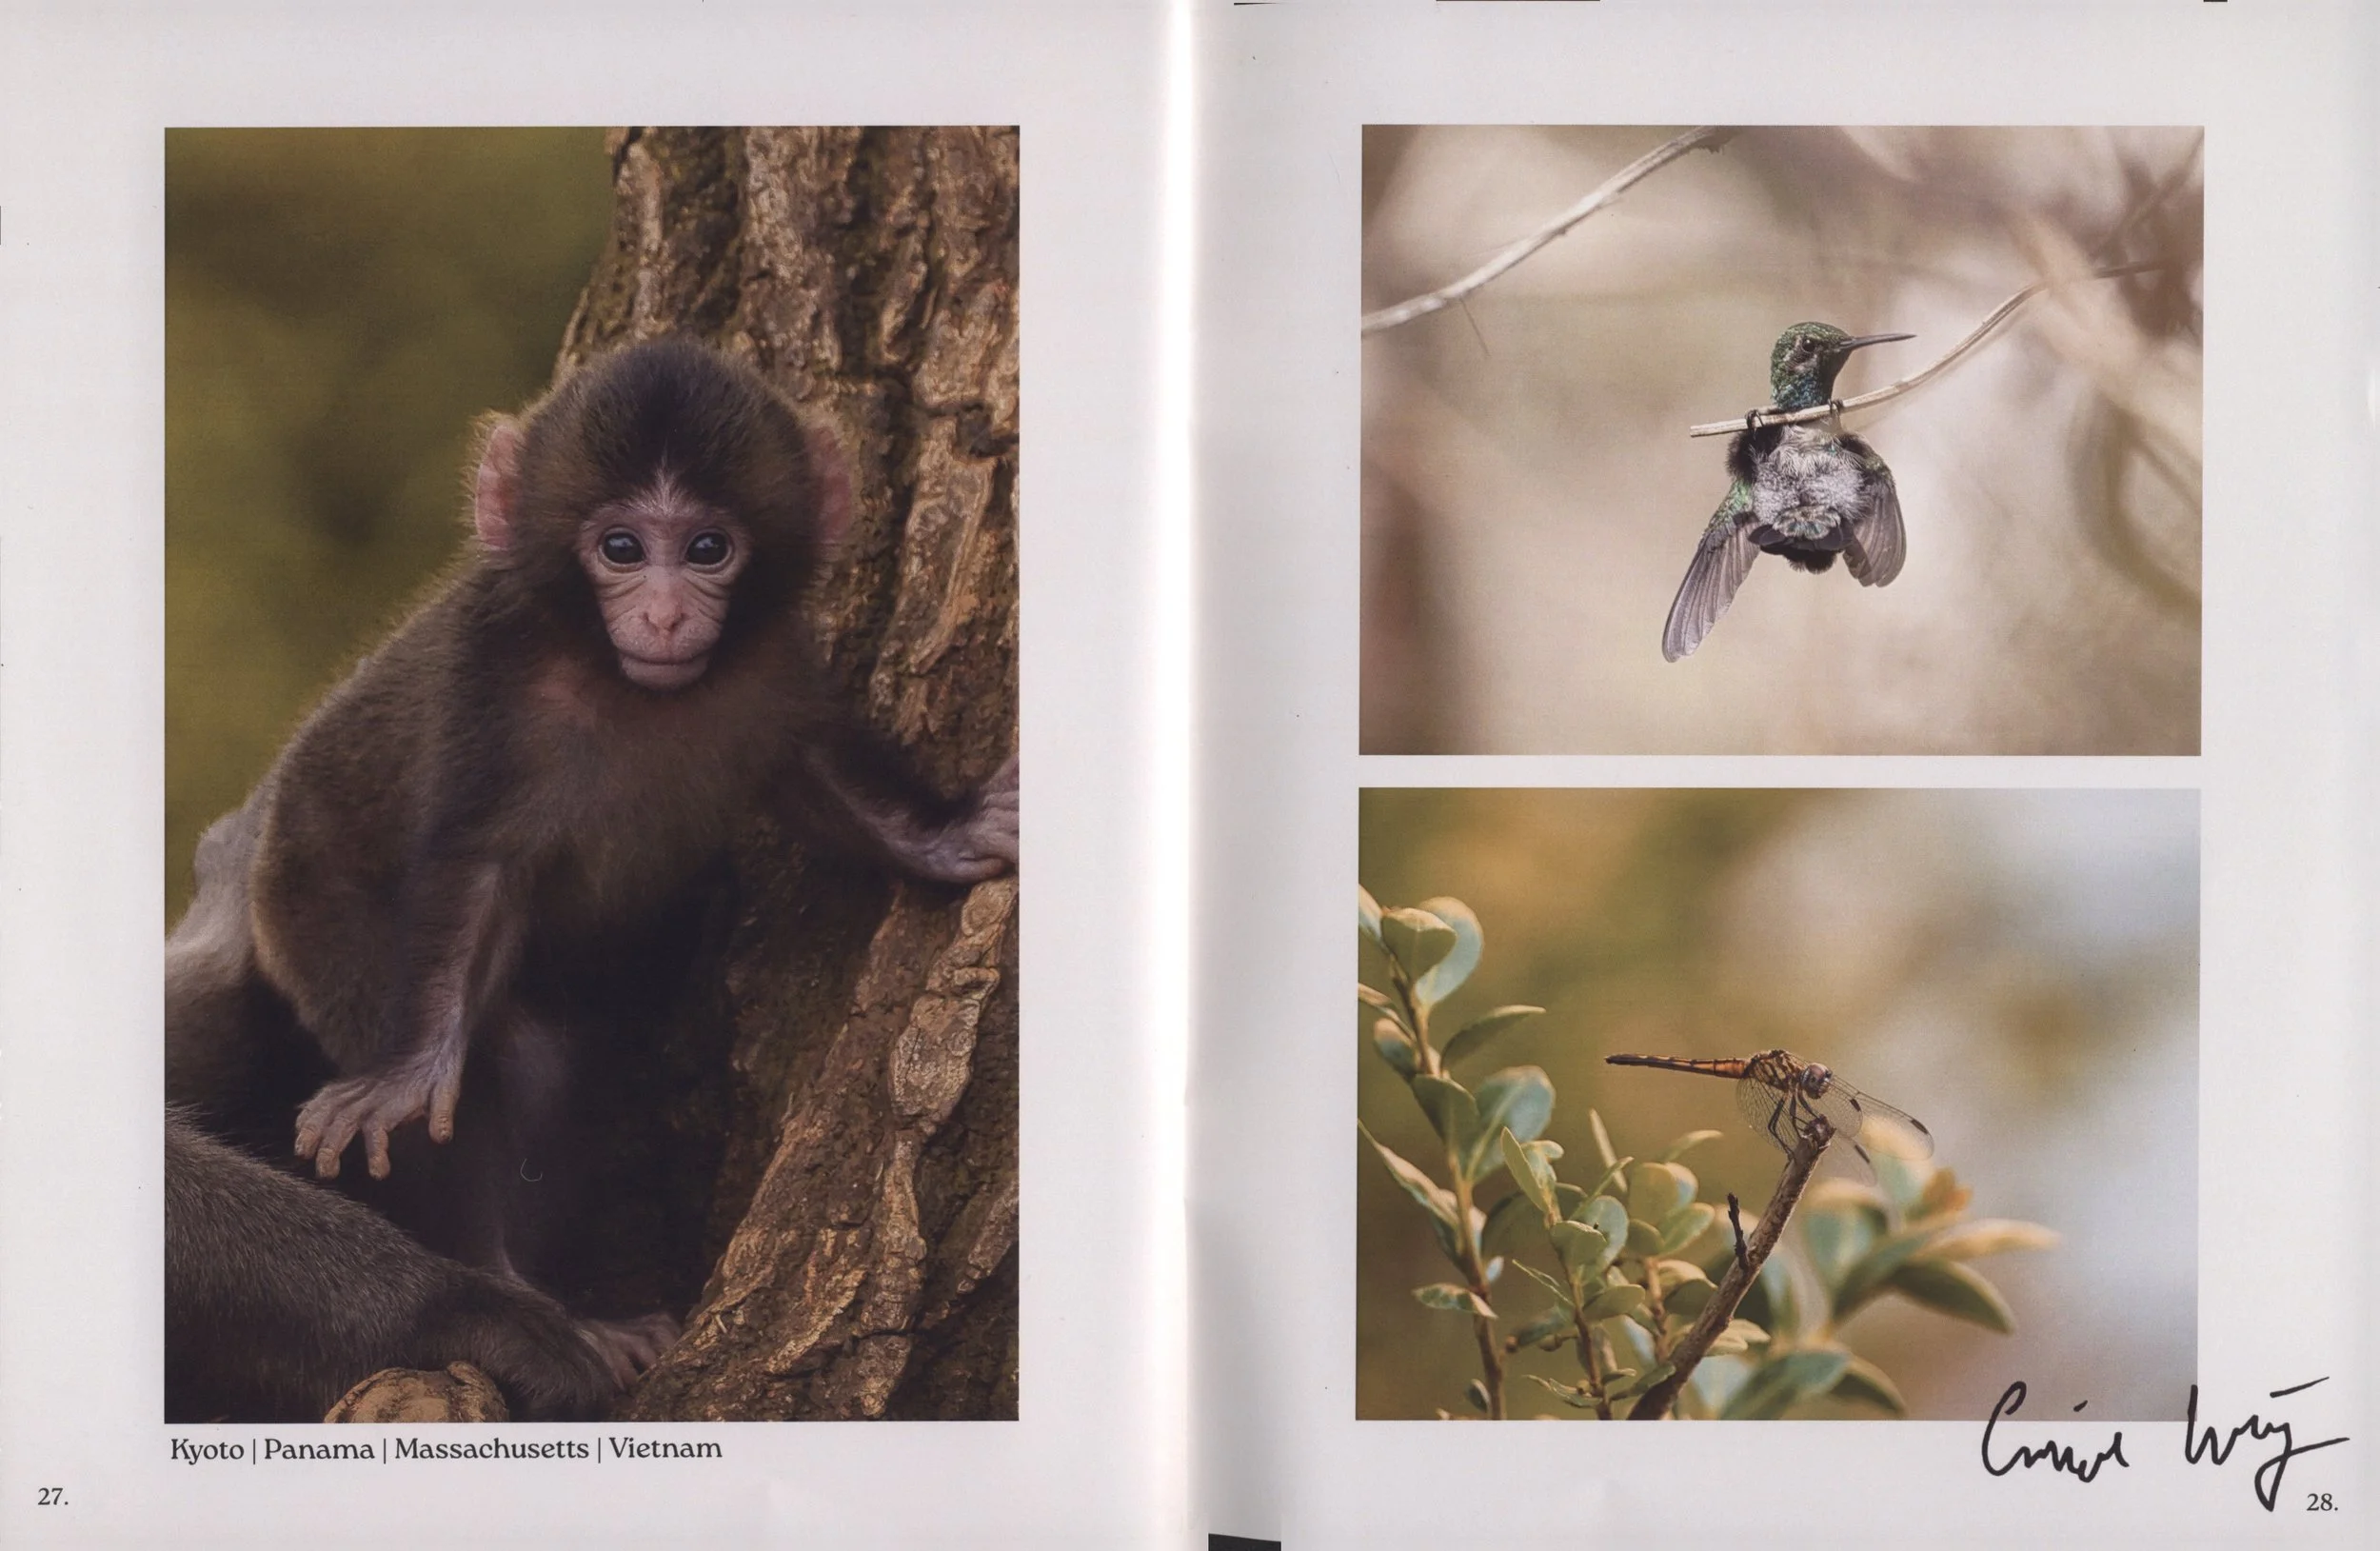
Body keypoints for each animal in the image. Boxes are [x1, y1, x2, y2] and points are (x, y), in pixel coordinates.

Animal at [166, 336, 1018, 1419]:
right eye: (620, 549)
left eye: (708, 549)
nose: (662, 612)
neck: (630, 690)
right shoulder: (495, 683)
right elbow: (471, 876)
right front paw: (407, 1082)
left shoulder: (770, 671)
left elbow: (821, 776)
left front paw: (946, 834)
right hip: (305, 906)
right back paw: (510, 1288)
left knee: (542, 1061)